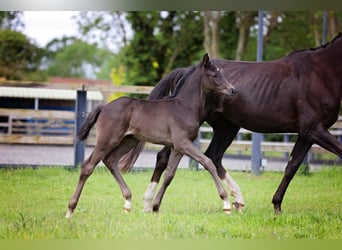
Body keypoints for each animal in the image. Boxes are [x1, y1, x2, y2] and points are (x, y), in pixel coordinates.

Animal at [118, 32, 342, 214]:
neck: (322, 71)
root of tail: (188, 69)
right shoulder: (315, 129)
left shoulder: (306, 134)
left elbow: (291, 167)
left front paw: (277, 205)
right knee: (168, 157)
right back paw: (149, 203)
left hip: (226, 127)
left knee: (213, 156)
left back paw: (236, 199)